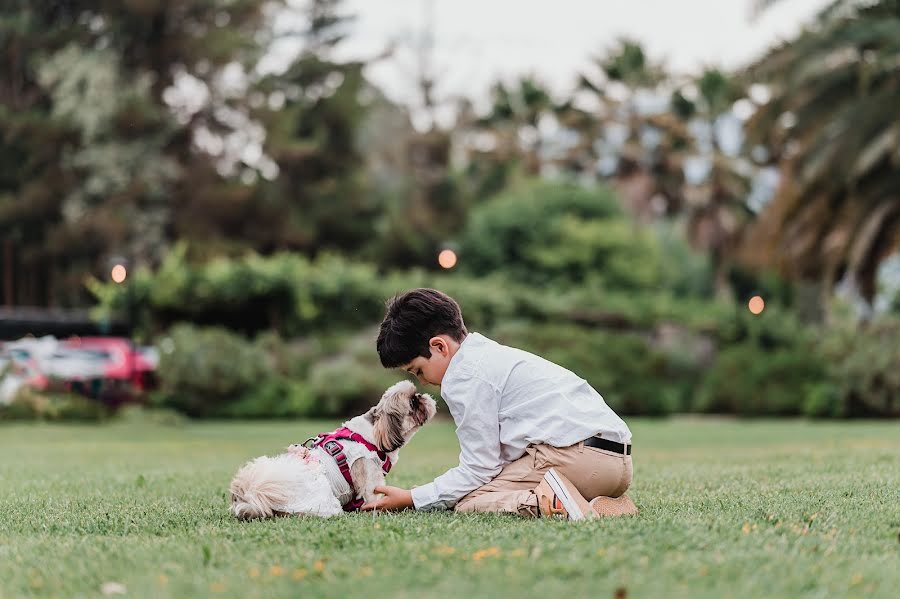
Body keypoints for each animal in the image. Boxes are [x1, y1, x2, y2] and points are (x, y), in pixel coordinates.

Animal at [230, 384, 438, 520]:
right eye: (413, 402)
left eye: (416, 396)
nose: (422, 396)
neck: (374, 434)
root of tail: (252, 494)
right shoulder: (369, 477)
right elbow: (372, 497)